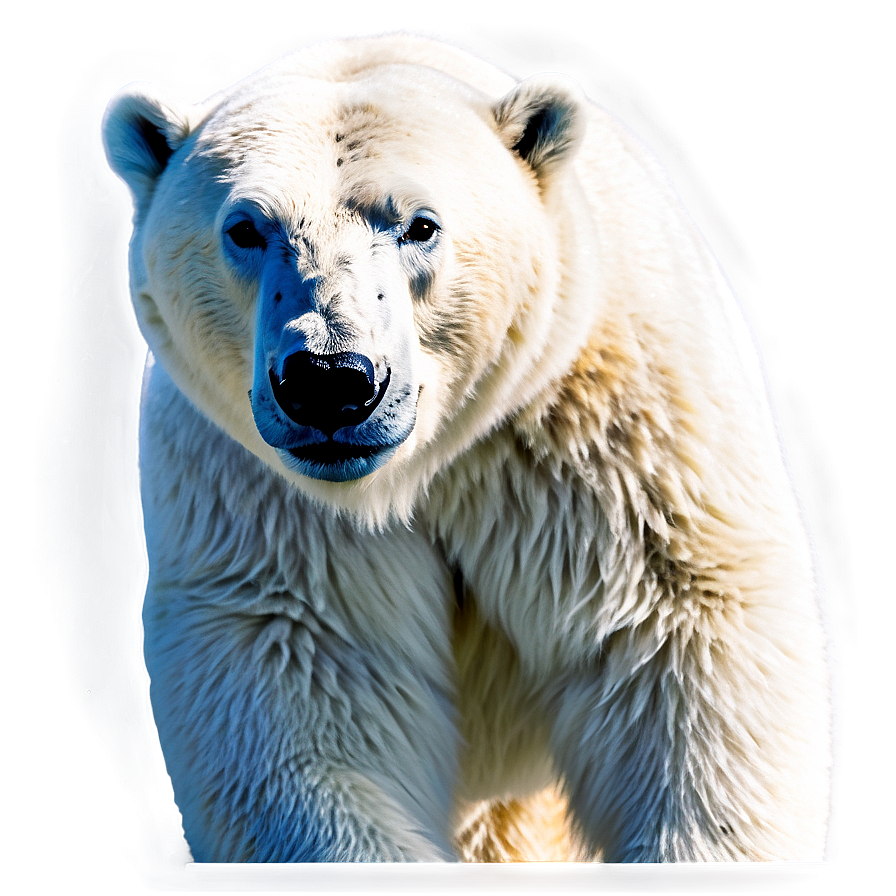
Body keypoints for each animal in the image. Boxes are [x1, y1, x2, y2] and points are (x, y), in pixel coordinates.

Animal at [102, 32, 834, 863]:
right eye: (246, 227)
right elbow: (310, 687)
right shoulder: (262, 496)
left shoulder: (607, 433)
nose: (329, 380)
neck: (424, 461)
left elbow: (681, 640)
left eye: (420, 224)